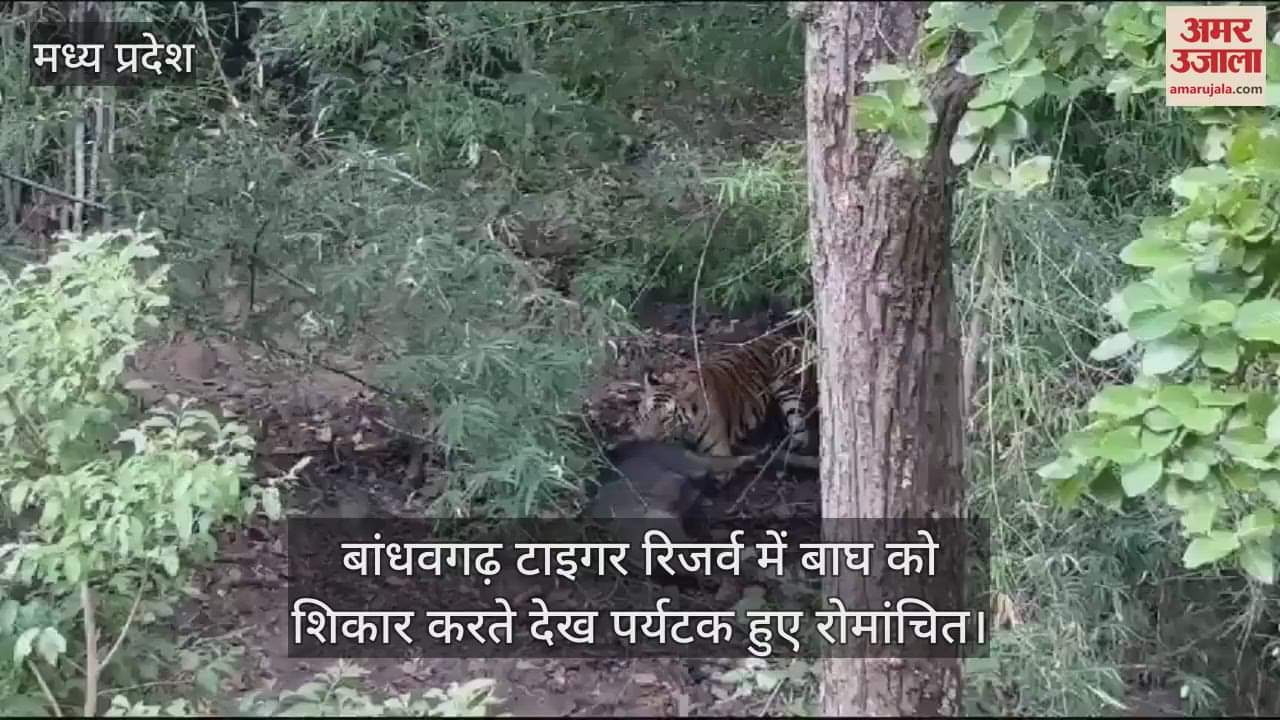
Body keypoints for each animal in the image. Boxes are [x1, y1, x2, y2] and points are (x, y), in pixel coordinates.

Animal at [632, 331, 818, 475]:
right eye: (646, 414)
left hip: (787, 387)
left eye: (666, 418)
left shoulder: (719, 450)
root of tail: (789, 337)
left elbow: (713, 464)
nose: (645, 441)